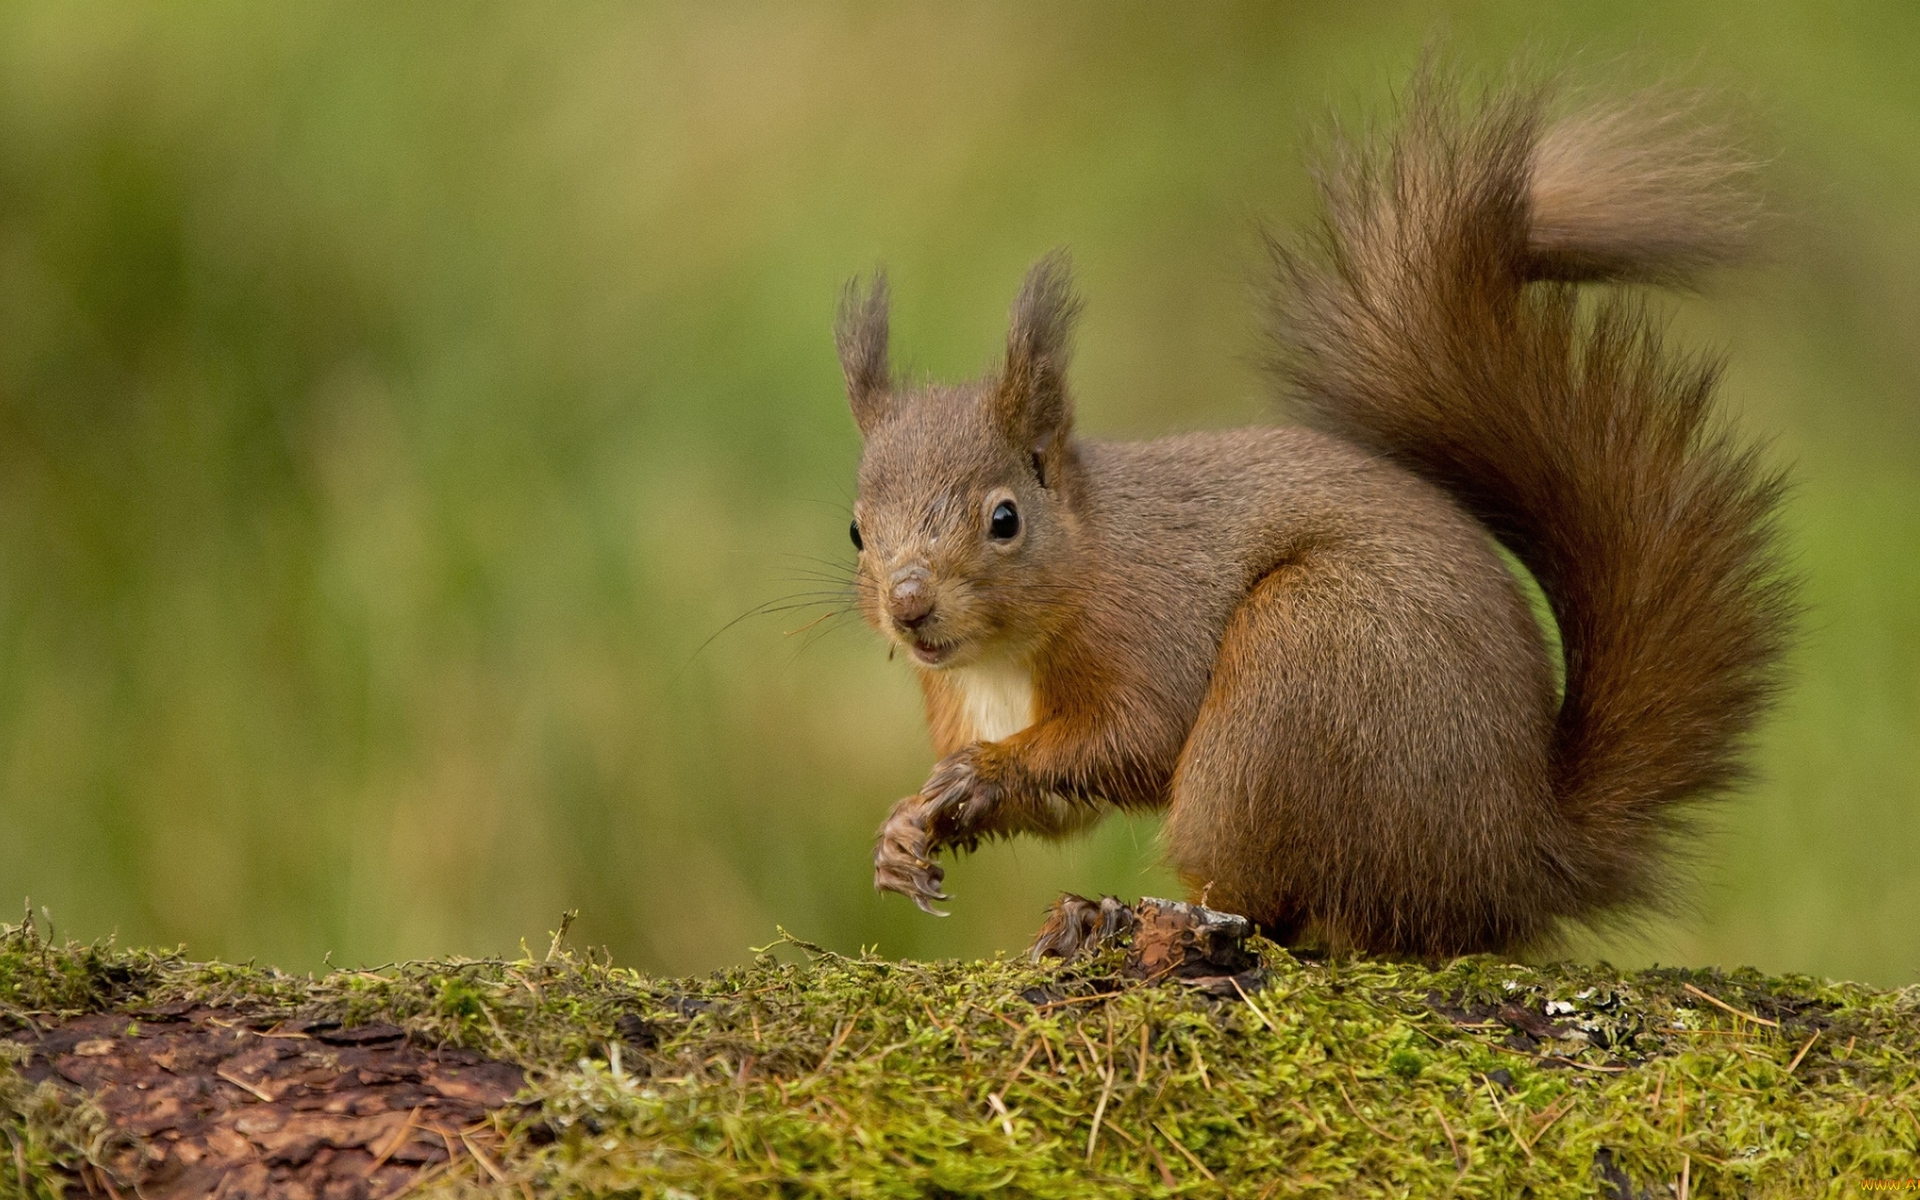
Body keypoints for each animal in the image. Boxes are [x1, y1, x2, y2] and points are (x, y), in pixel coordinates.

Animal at [833, 74, 1789, 956]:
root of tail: (1515, 859)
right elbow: (1059, 807)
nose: (909, 606)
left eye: (1005, 520)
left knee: (1287, 909)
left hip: (1299, 675)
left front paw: (979, 773)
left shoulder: (1149, 624)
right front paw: (905, 830)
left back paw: (1150, 914)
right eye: (856, 530)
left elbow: (1135, 738)